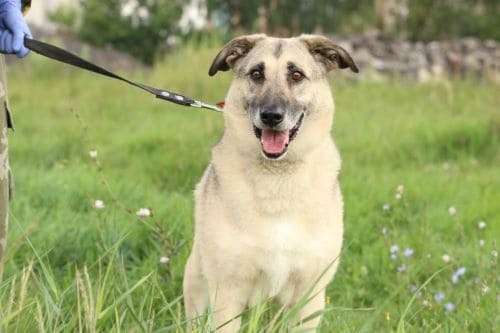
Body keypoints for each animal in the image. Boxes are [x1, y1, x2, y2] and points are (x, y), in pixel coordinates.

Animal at [184, 34, 360, 332]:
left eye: (296, 75)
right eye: (256, 74)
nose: (271, 116)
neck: (278, 177)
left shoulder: (308, 297)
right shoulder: (227, 293)